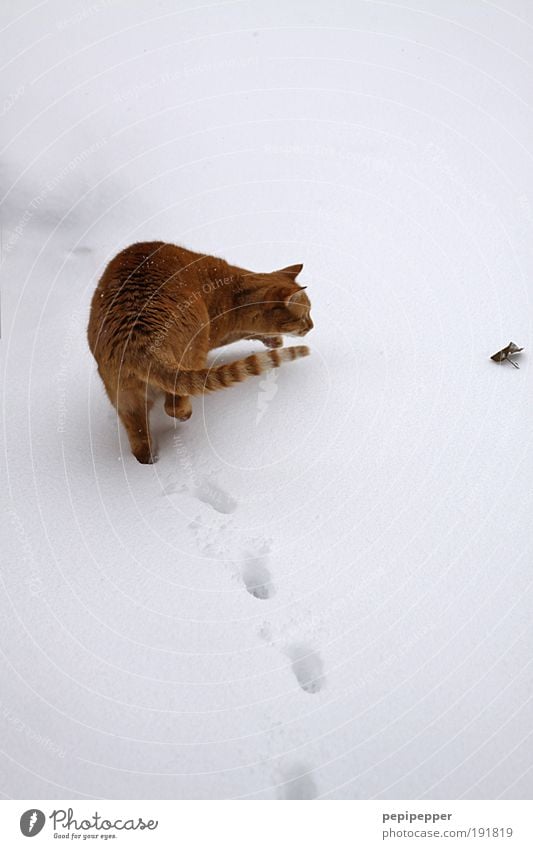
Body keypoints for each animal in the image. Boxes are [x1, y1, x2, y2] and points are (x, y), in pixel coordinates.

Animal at [87, 238, 312, 464]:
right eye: (304, 316)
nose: (312, 326)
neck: (232, 291)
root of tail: (140, 342)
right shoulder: (218, 333)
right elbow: (248, 332)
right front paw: (274, 339)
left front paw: (273, 340)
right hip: (195, 352)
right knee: (174, 405)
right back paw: (185, 416)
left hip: (126, 400)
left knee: (140, 443)